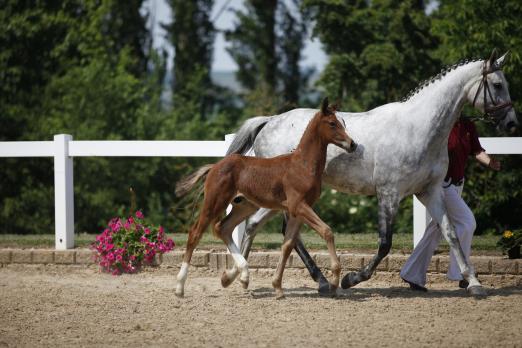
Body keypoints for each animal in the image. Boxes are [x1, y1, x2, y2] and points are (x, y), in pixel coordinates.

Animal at [174, 98, 354, 300]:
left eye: (343, 123)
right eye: (332, 123)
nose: (352, 144)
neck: (302, 165)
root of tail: (215, 166)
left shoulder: (297, 211)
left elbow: (288, 245)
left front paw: (278, 288)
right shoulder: (298, 205)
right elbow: (326, 231)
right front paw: (334, 281)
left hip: (245, 206)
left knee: (223, 228)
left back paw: (241, 275)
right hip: (215, 202)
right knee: (195, 233)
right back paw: (180, 287)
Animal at [220, 51, 516, 296]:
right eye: (497, 85)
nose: (512, 123)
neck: (417, 128)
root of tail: (269, 121)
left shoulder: (430, 192)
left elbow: (451, 233)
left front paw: (475, 284)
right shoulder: (389, 193)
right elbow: (385, 243)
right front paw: (351, 279)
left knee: (257, 225)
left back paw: (247, 276)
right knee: (268, 228)